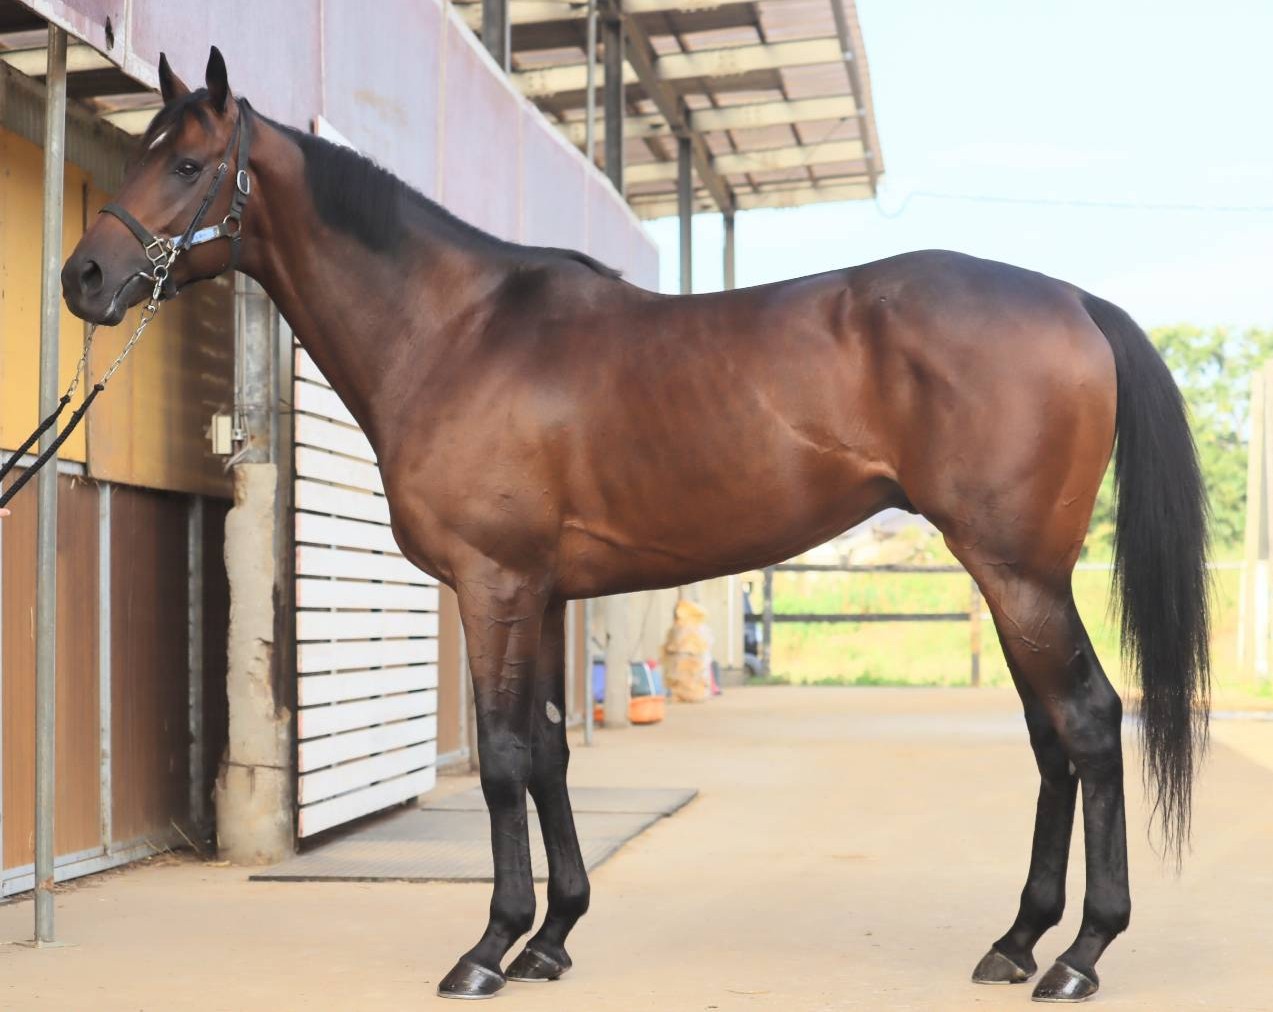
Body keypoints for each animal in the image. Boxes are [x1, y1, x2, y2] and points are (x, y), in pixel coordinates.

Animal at [60, 48, 1209, 1004]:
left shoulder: (492, 583)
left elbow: (502, 756)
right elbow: (550, 752)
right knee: (1050, 736)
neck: (457, 331)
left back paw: (1078, 954)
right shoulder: (541, 594)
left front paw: (489, 947)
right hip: (1010, 577)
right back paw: (1015, 940)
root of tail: (1072, 299)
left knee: (1089, 722)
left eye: (190, 162)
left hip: (1016, 572)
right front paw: (553, 937)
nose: (84, 278)